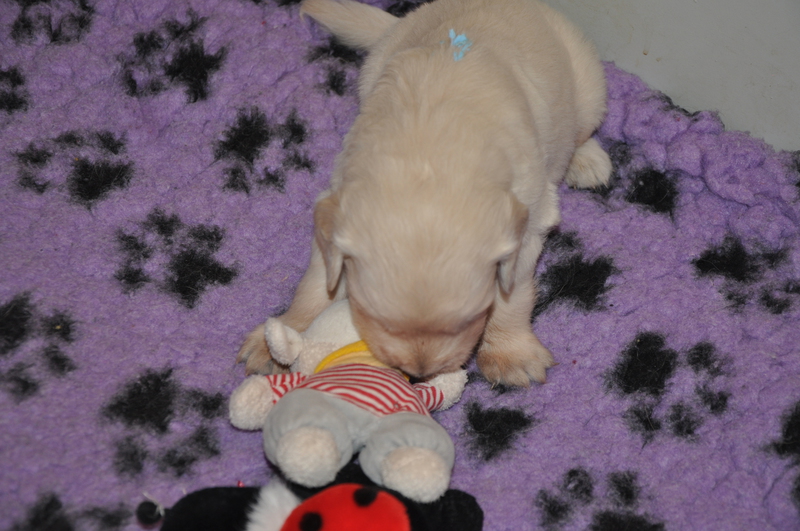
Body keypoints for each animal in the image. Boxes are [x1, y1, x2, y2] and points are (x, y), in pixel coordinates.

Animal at [238, 0, 611, 386]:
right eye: (374, 316)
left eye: (467, 320)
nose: (418, 375)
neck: (428, 156)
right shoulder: (335, 207)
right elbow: (316, 283)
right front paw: (279, 337)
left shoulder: (531, 217)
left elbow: (513, 294)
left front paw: (511, 354)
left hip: (587, 84)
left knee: (580, 130)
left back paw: (587, 160)